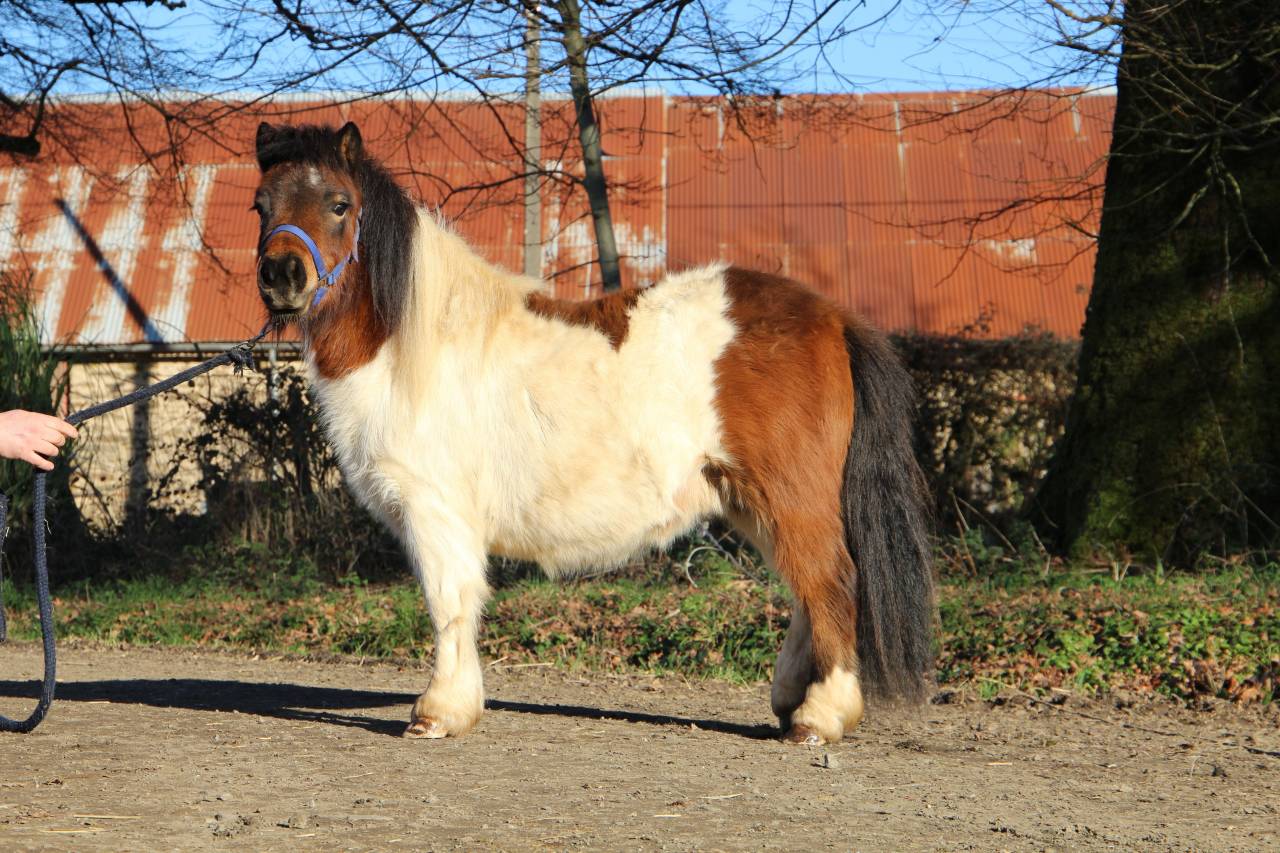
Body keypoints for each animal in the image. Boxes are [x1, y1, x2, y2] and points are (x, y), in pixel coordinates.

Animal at [251, 120, 934, 745]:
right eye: (261, 203)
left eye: (340, 204)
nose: (282, 276)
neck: (413, 344)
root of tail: (833, 316)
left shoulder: (435, 510)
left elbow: (449, 604)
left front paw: (439, 712)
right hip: (752, 500)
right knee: (805, 593)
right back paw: (792, 700)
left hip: (793, 497)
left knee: (831, 584)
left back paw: (821, 717)